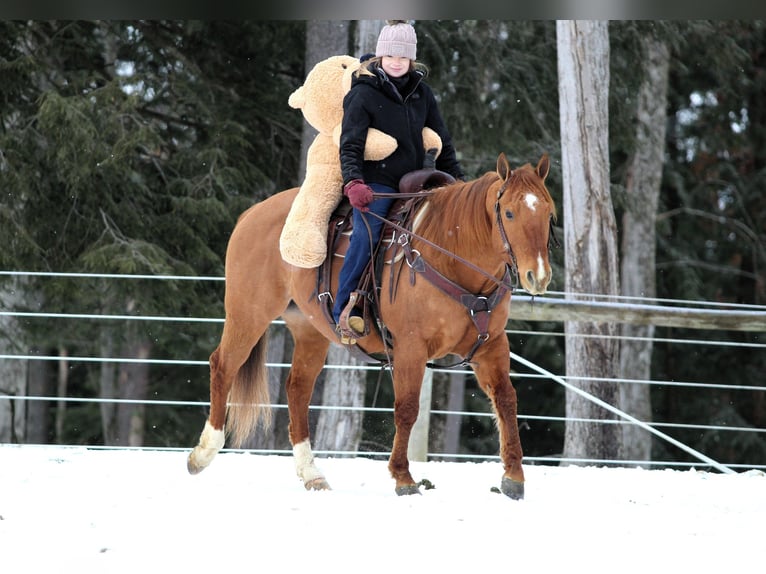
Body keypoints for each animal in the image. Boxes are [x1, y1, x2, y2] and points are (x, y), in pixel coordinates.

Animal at [188, 152, 560, 500]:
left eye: (548, 213)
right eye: (509, 213)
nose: (537, 275)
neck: (450, 255)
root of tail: (252, 214)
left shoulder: (492, 344)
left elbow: (506, 400)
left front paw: (514, 478)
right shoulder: (411, 347)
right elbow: (407, 408)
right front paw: (404, 478)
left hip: (309, 329)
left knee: (297, 388)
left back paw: (312, 473)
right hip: (248, 312)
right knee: (224, 364)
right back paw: (203, 453)